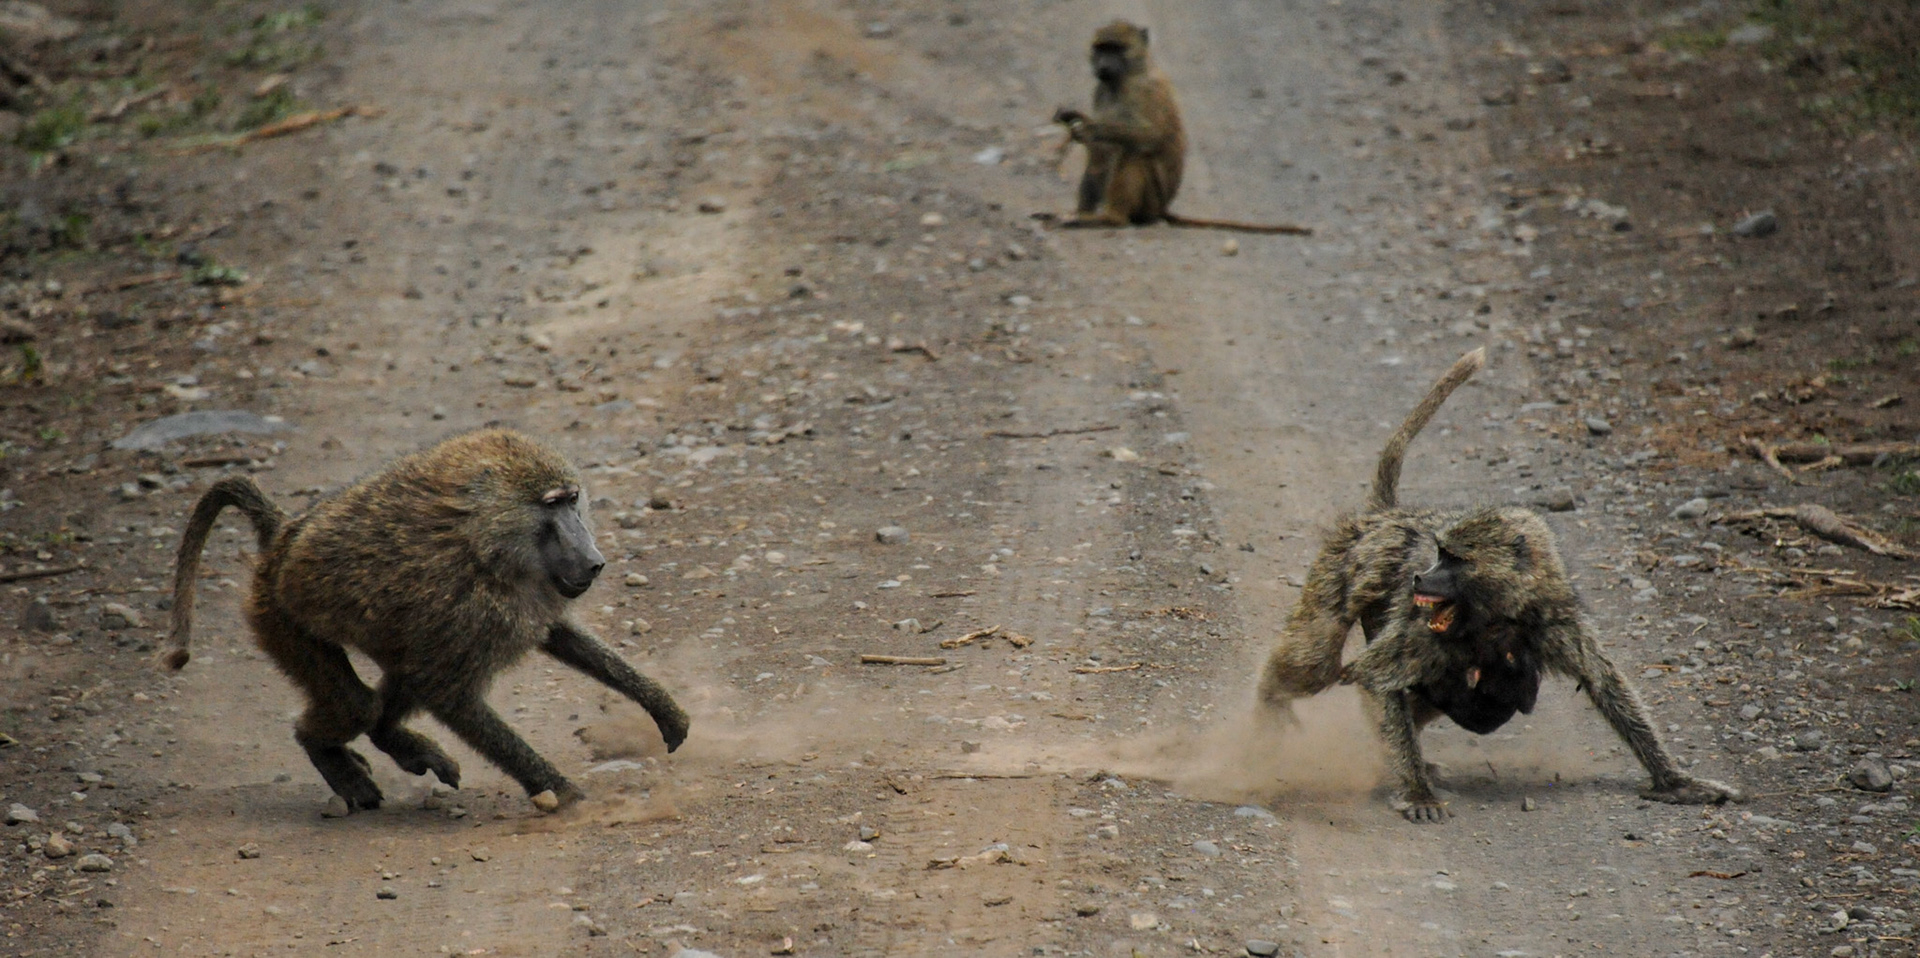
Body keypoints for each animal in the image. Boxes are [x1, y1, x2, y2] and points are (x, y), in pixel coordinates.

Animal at [163, 428, 690, 815]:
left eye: (572, 499)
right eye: (551, 504)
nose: (594, 561)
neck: (486, 543)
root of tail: (282, 538)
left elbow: (559, 636)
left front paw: (665, 711)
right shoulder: (465, 603)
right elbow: (450, 695)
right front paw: (567, 795)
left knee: (396, 683)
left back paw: (395, 745)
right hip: (279, 619)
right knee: (359, 705)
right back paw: (336, 757)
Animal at [1051, 20, 1311, 236]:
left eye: (1116, 49)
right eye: (1101, 48)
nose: (1103, 66)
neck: (1128, 75)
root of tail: (1163, 208)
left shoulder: (1142, 90)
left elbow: (1150, 136)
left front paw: (1089, 127)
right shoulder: (1100, 90)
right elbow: (1100, 151)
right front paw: (1076, 121)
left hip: (1151, 201)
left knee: (1133, 152)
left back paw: (1111, 219)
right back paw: (1082, 215)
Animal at [1256, 348, 1739, 822]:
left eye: (1452, 559)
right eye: (1439, 553)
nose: (1419, 576)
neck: (1497, 615)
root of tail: (1386, 516)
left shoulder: (1554, 620)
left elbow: (1604, 684)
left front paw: (1676, 782)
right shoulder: (1418, 627)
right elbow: (1376, 678)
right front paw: (1416, 792)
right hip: (1341, 567)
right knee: (1314, 662)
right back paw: (1269, 711)